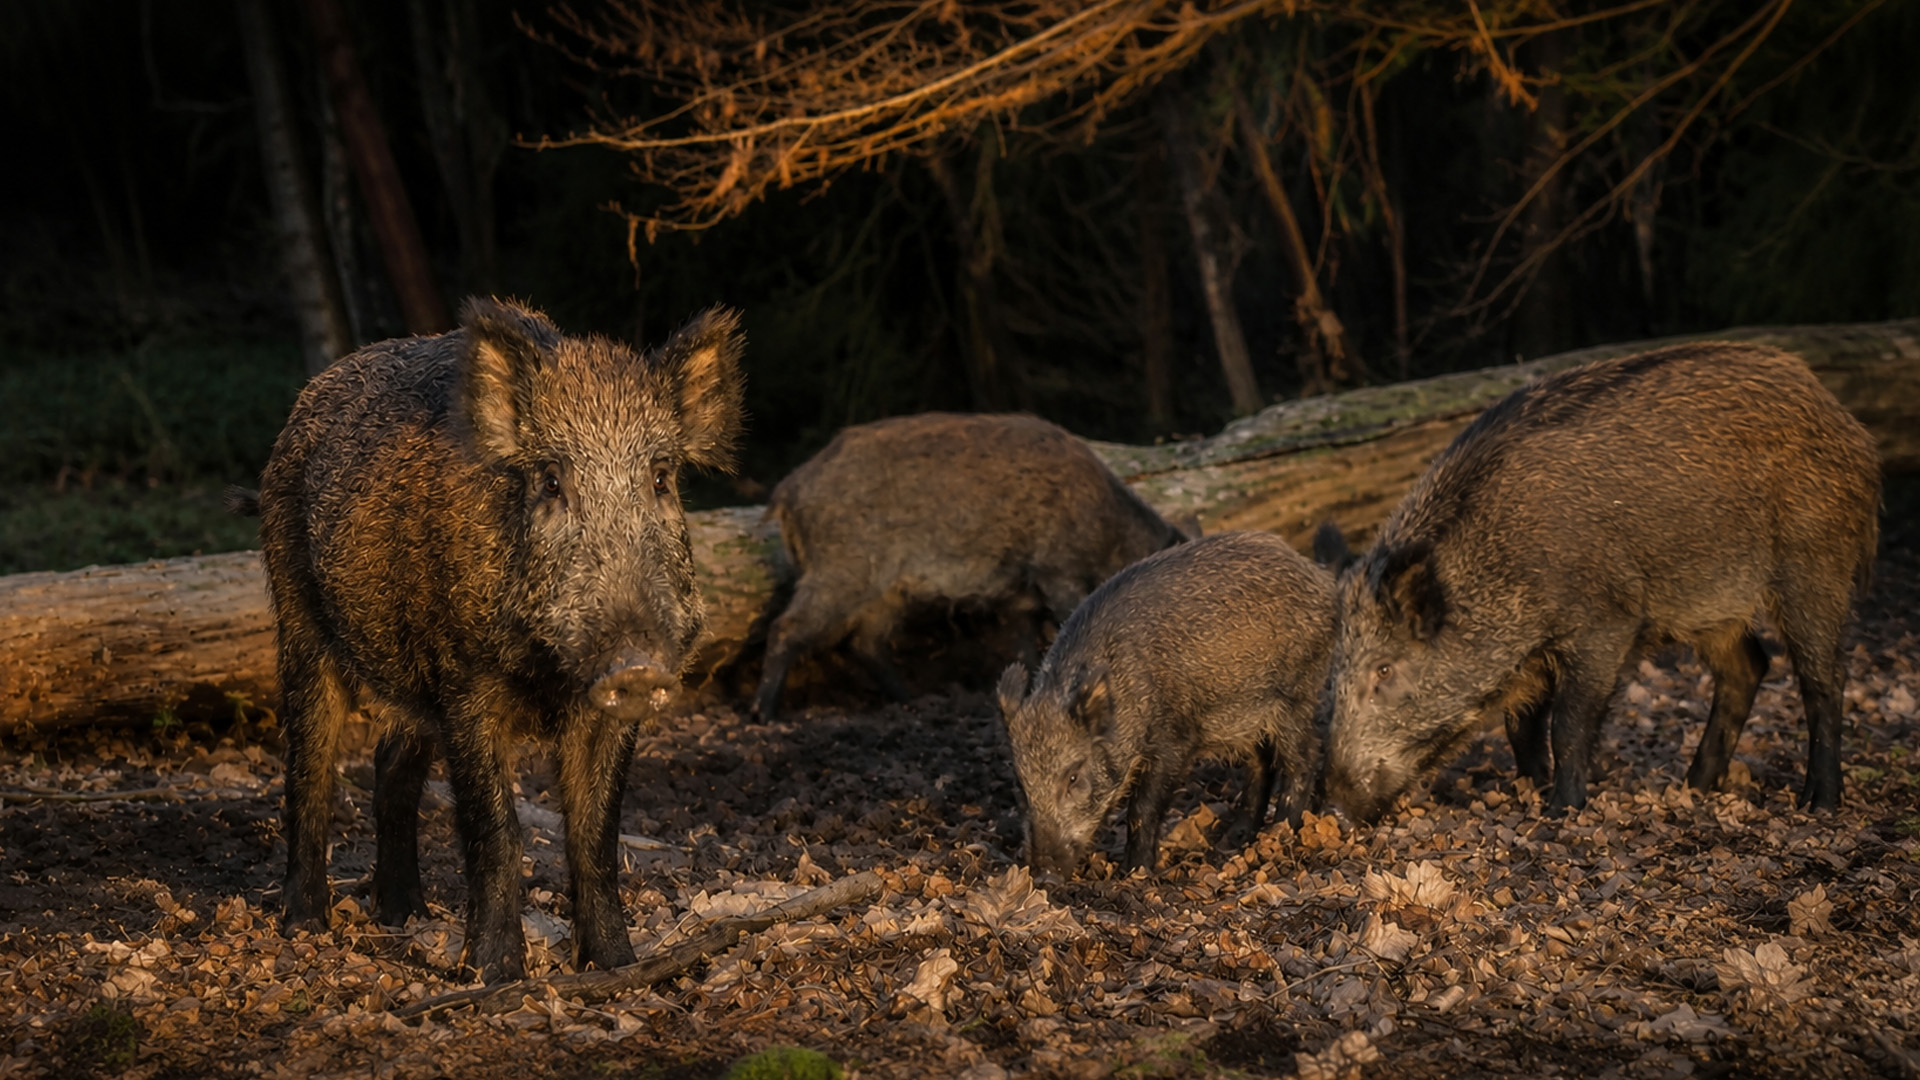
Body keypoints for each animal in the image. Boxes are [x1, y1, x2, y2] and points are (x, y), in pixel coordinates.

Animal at [237, 297, 744, 982]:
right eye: (551, 481)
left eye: (661, 478)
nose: (635, 665)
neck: (551, 676)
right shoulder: (463, 685)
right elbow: (494, 827)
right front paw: (495, 974)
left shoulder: (606, 714)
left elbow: (596, 832)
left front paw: (617, 967)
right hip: (298, 618)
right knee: (309, 770)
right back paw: (305, 925)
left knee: (390, 764)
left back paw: (405, 914)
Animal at [753, 412, 1184, 720]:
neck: (1105, 528)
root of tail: (786, 492)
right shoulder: (1055, 569)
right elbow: (1064, 619)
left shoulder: (1018, 595)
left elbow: (1023, 641)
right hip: (842, 569)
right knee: (787, 628)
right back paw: (765, 716)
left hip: (888, 593)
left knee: (865, 642)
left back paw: (914, 702)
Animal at [996, 530, 1336, 875]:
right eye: (1021, 785)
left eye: (1073, 777)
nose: (1043, 874)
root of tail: (1321, 578)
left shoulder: (1173, 741)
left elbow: (1142, 808)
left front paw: (1136, 872)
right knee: (1261, 763)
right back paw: (1235, 839)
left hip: (1295, 693)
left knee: (1305, 756)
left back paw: (1281, 831)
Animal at [1323, 342, 1879, 821]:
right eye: (1337, 672)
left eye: (1385, 670)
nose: (1340, 804)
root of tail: (1844, 419)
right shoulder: (1534, 656)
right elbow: (1521, 726)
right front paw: (1530, 787)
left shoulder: (1603, 624)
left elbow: (1567, 725)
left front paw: (1560, 809)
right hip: (1712, 606)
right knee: (1748, 667)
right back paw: (1693, 786)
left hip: (1815, 565)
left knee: (1823, 678)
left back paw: (1818, 803)